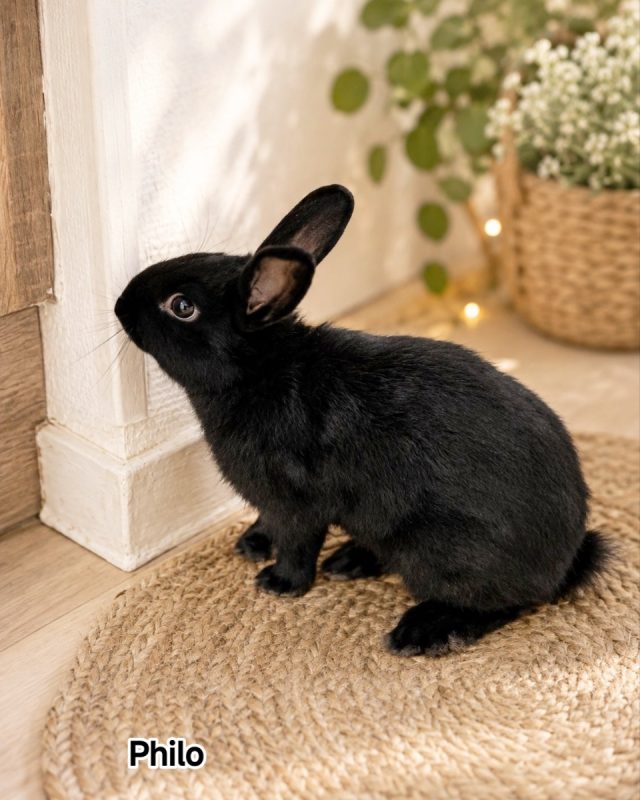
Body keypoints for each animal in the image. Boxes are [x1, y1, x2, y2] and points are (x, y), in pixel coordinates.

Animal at [115, 184, 608, 656]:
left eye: (182, 307)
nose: (120, 304)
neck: (258, 371)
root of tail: (562, 560)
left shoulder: (296, 501)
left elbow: (297, 541)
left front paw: (278, 582)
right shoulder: (272, 501)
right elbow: (267, 522)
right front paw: (252, 543)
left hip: (441, 553)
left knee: (502, 605)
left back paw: (420, 632)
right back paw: (350, 561)